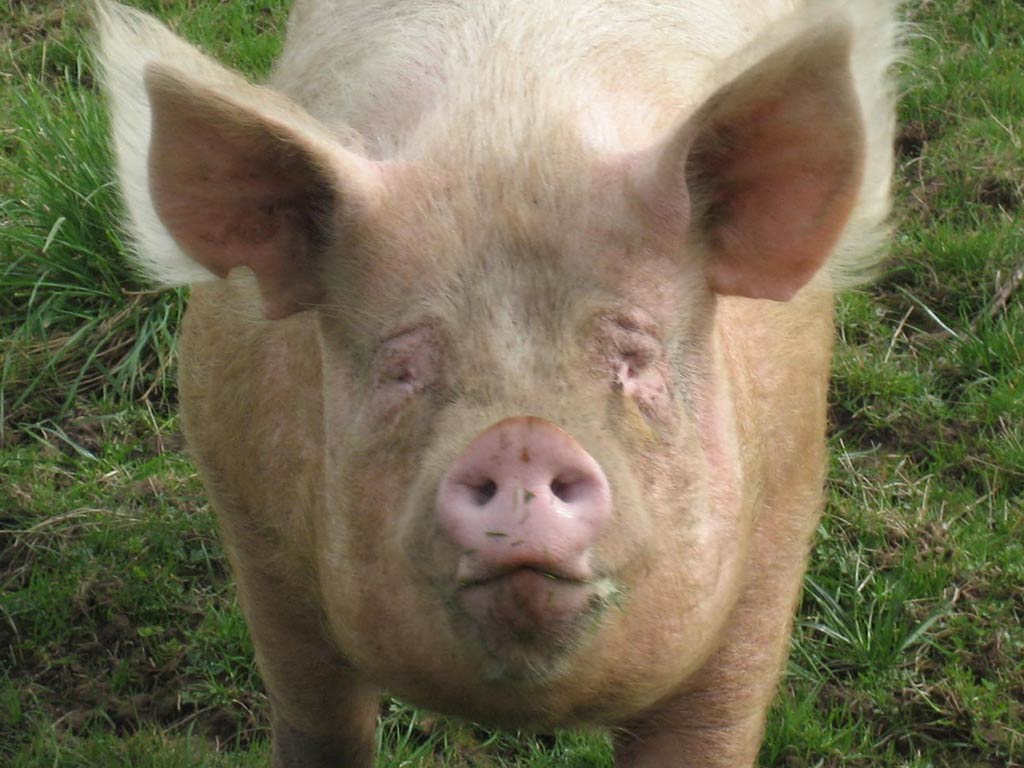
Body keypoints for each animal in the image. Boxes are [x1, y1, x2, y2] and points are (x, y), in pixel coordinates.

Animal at [94, 0, 899, 765]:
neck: (510, 131)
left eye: (636, 361)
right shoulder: (252, 529)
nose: (521, 439)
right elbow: (322, 728)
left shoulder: (776, 525)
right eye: (400, 370)